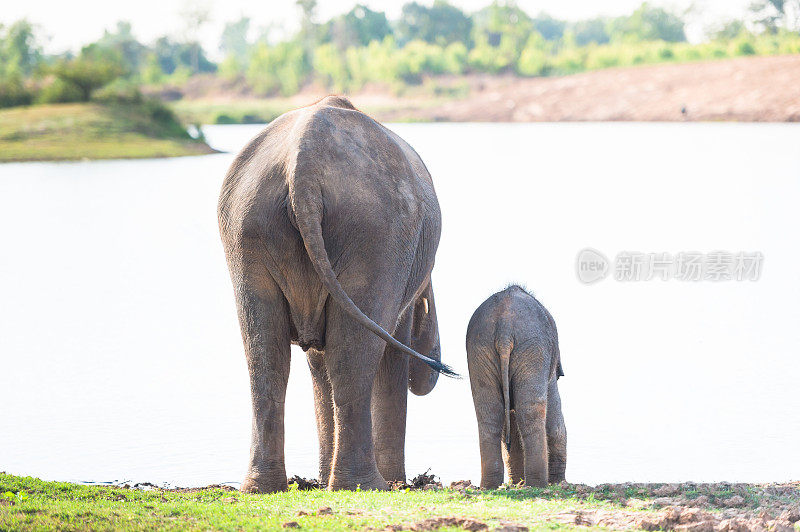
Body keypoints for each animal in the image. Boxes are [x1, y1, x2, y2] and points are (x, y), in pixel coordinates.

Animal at [219, 96, 454, 494]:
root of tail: (303, 166)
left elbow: (317, 359)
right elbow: (388, 352)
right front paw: (396, 483)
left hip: (248, 229)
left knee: (266, 355)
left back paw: (266, 487)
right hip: (376, 235)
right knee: (353, 354)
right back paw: (368, 485)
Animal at [466, 284, 564, 488]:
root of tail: (504, 327)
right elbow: (555, 420)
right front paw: (558, 482)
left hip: (480, 350)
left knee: (489, 413)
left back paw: (490, 485)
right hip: (532, 349)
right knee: (530, 412)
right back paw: (537, 485)